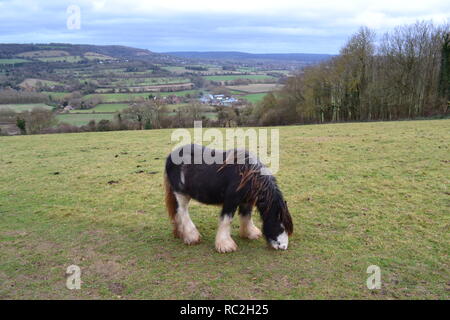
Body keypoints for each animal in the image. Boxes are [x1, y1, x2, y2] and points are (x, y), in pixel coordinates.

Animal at [163, 143, 294, 252]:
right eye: (281, 227)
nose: (283, 247)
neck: (248, 174)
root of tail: (170, 156)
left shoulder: (246, 201)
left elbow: (246, 216)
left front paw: (249, 233)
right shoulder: (231, 201)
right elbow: (226, 220)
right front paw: (225, 245)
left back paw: (180, 233)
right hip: (181, 194)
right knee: (182, 211)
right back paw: (192, 237)